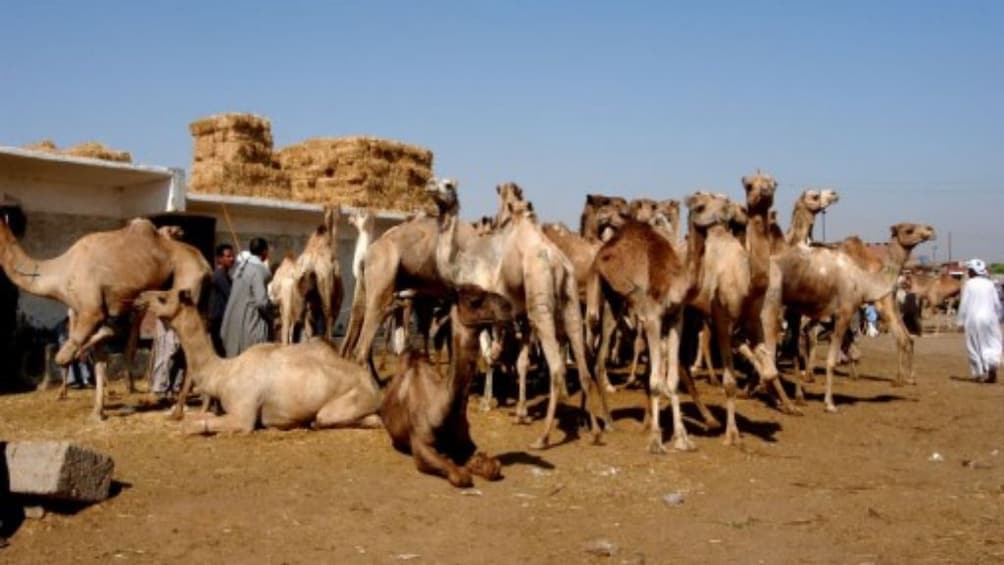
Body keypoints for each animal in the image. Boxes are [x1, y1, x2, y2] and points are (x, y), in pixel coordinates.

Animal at [0, 216, 208, 419]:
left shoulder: (92, 310)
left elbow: (68, 354)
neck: (60, 273)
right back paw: (201, 405)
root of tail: (205, 264)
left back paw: (179, 409)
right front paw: (97, 412)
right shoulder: (84, 310)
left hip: (185, 286)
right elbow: (99, 360)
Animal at [135, 289, 381, 435]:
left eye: (162, 297)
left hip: (350, 401)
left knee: (330, 418)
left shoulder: (243, 414)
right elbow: (204, 416)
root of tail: (371, 383)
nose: (139, 298)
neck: (223, 373)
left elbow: (198, 425)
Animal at [427, 178, 606, 449]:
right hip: (570, 299)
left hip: (540, 300)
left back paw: (543, 437)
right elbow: (520, 361)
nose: (429, 185)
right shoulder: (518, 315)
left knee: (556, 368)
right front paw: (520, 411)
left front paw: (485, 402)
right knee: (582, 362)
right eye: (435, 182)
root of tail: (556, 261)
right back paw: (594, 430)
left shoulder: (486, 311)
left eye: (447, 185)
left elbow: (488, 355)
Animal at [586, 192, 738, 453]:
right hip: (601, 290)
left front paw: (682, 439)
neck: (673, 282)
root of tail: (604, 248)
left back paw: (609, 420)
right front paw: (656, 440)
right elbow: (656, 381)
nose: (728, 209)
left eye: (723, 198)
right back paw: (607, 422)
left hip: (617, 302)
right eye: (700, 206)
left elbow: (673, 380)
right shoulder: (652, 319)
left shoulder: (675, 319)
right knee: (597, 354)